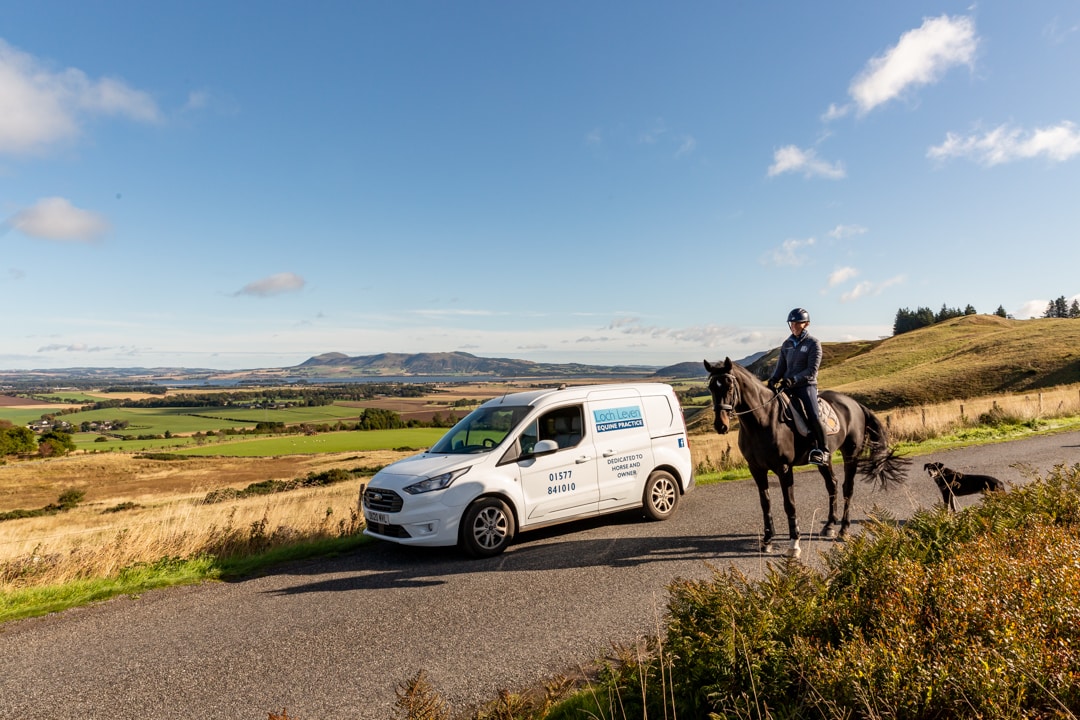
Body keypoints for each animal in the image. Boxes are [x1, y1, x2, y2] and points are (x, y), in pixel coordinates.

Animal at [704, 358, 907, 557]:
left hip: (851, 454)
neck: (762, 420)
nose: (720, 425)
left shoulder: (784, 468)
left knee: (847, 488)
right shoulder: (756, 469)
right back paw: (829, 526)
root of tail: (855, 404)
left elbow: (789, 504)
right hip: (824, 459)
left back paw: (844, 529)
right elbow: (765, 504)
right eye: (712, 387)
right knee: (832, 484)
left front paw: (794, 543)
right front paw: (767, 540)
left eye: (729, 386)